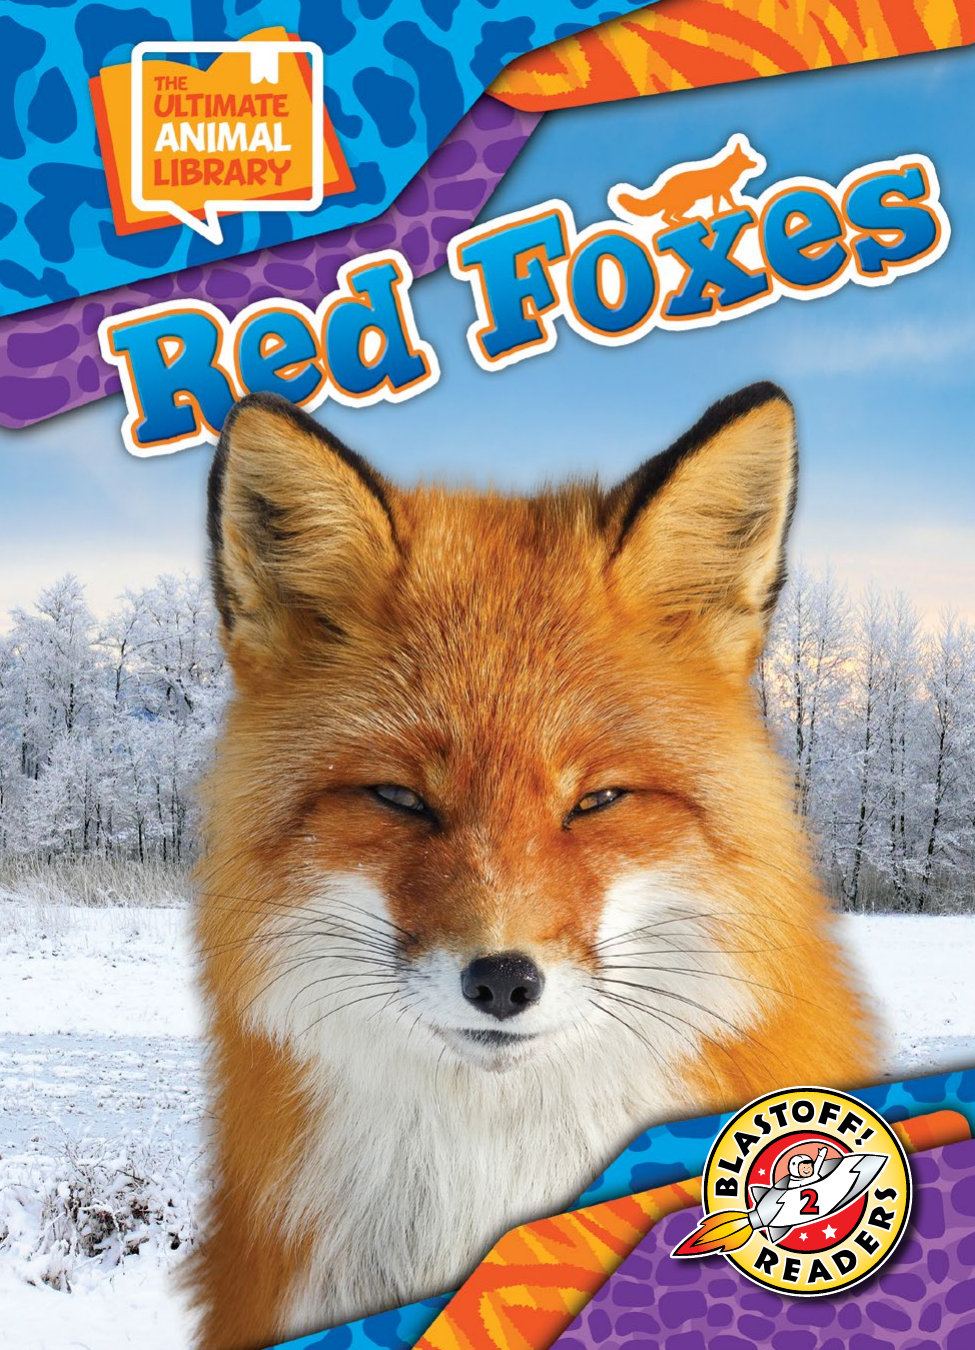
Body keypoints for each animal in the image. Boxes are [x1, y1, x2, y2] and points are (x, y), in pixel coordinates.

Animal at [614, 140, 760, 227]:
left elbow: (717, 206)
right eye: (747, 158)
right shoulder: (722, 191)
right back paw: (685, 221)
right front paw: (734, 208)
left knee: (667, 217)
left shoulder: (718, 193)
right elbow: (728, 202)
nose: (757, 163)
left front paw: (719, 214)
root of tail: (665, 184)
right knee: (666, 217)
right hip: (687, 203)